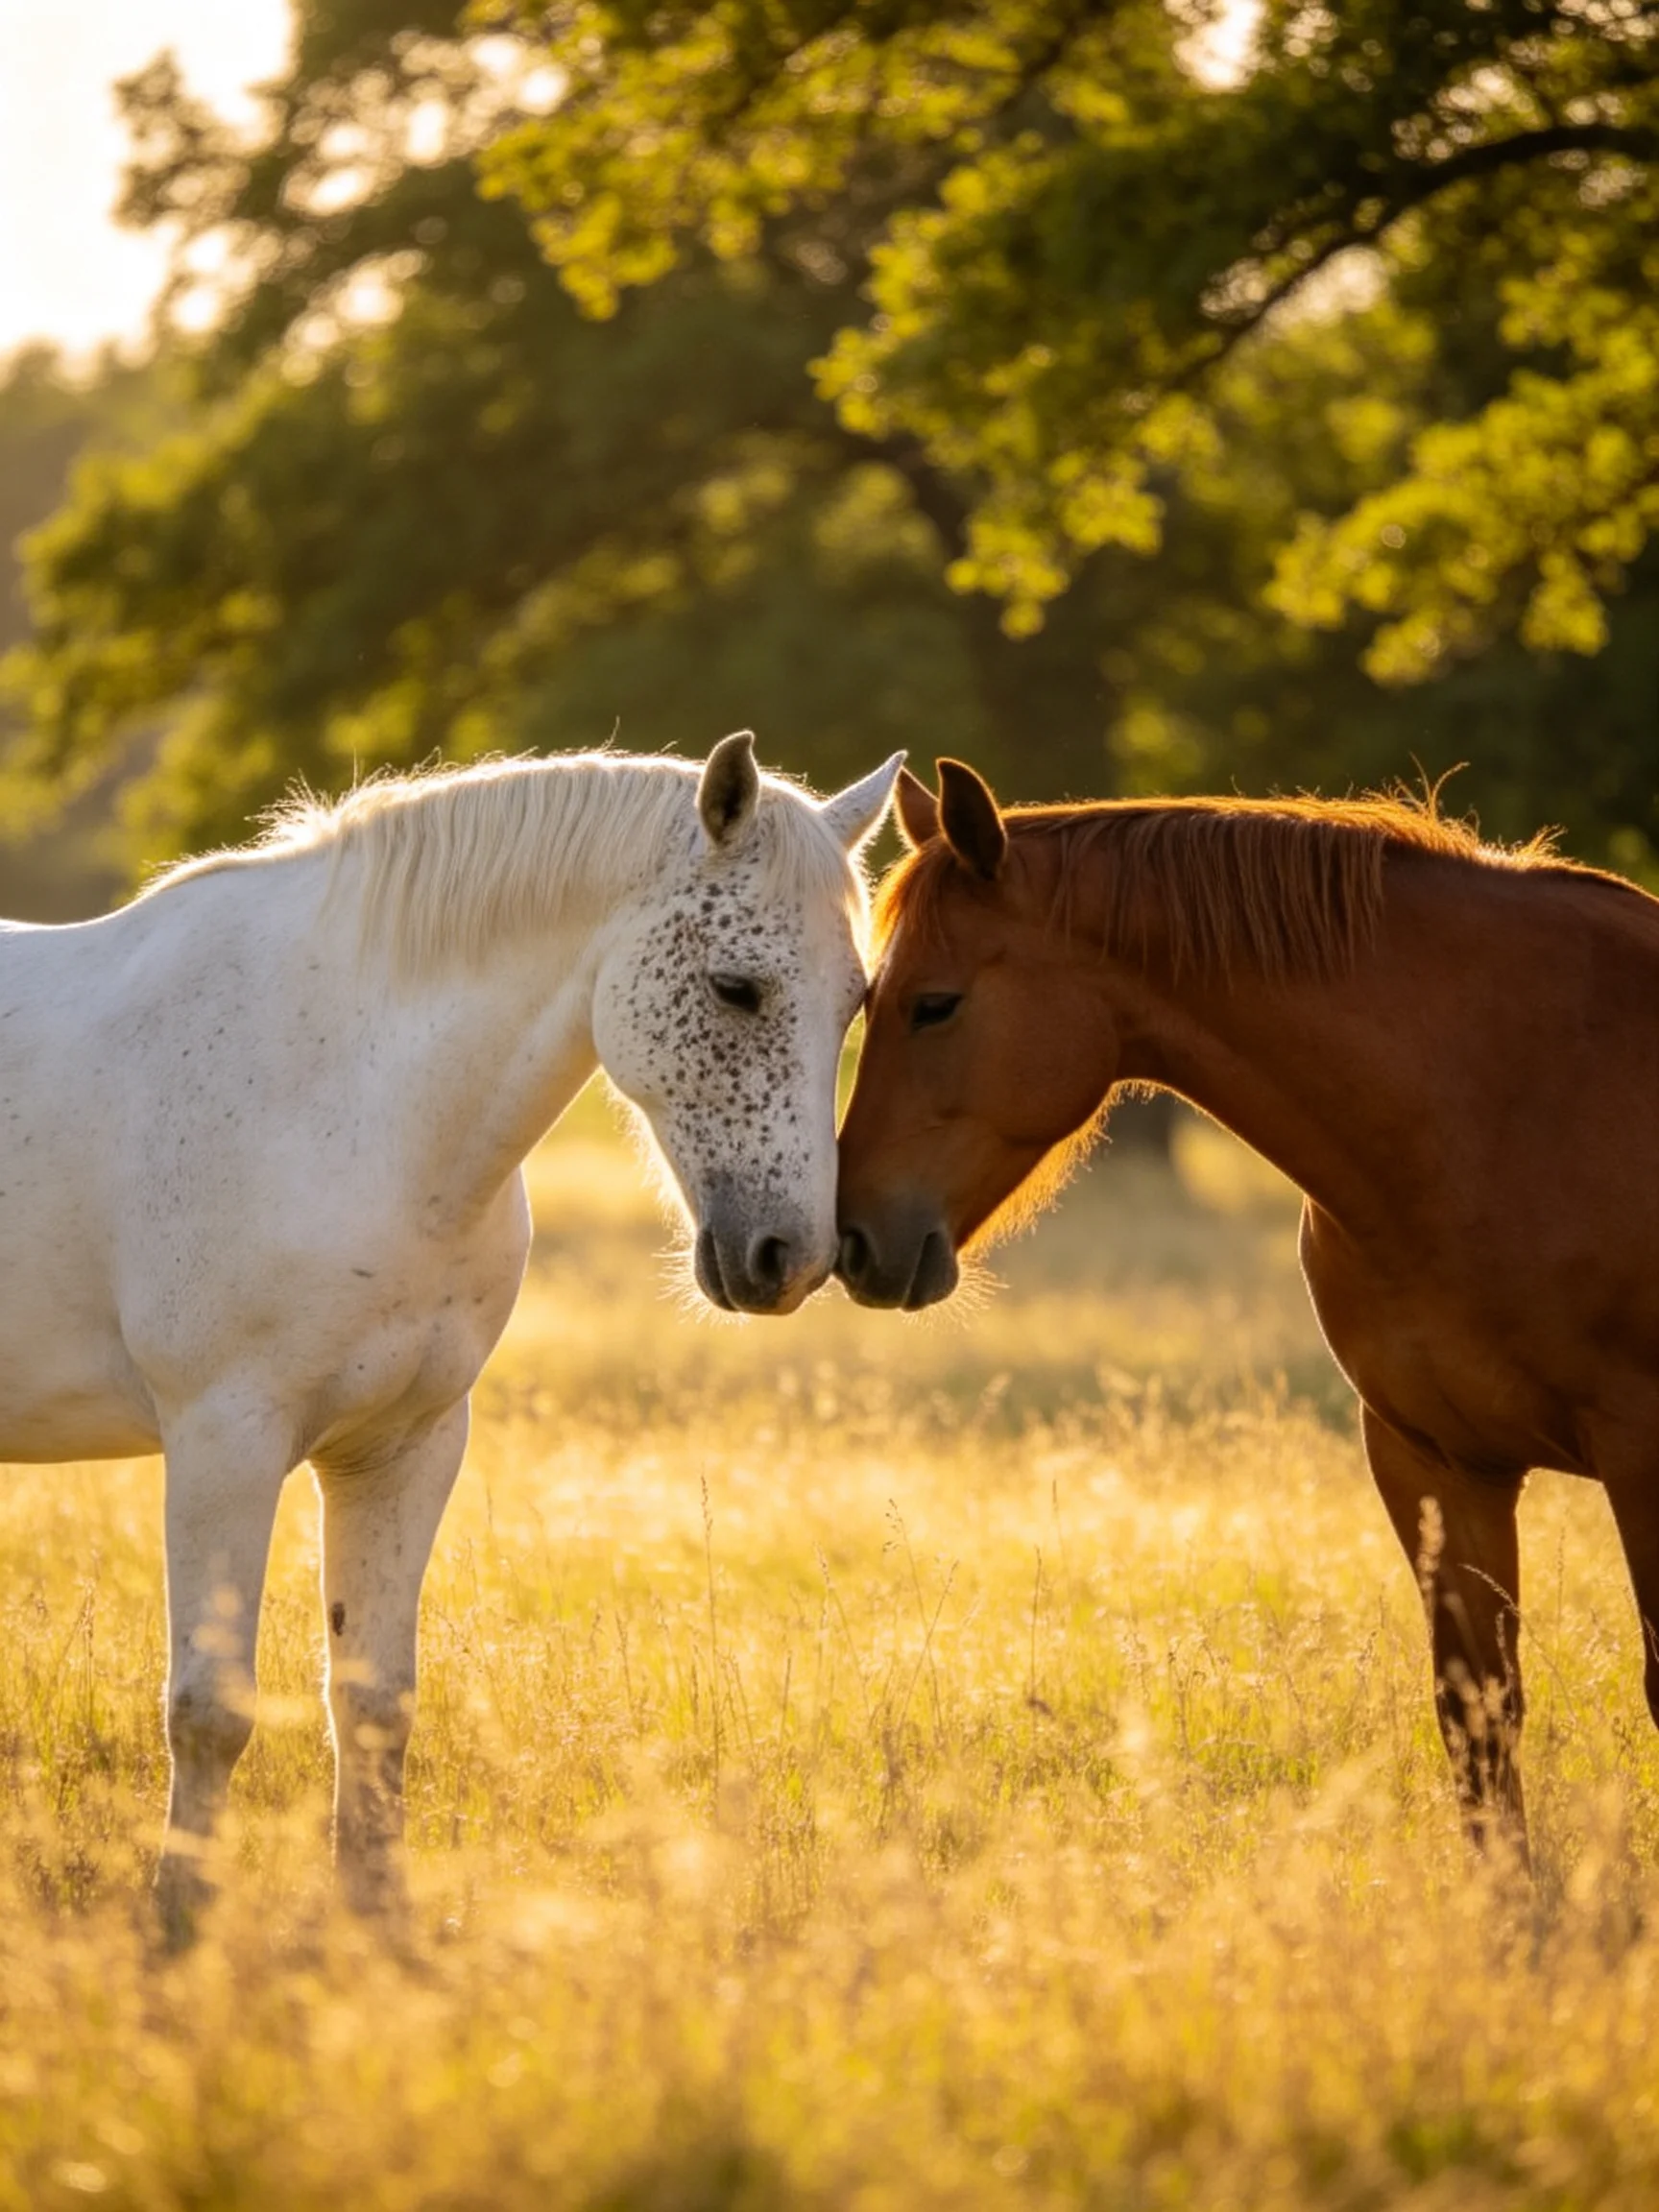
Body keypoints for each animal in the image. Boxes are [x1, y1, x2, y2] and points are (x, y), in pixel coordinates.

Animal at [0, 733, 901, 1935]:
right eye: (736, 989)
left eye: (855, 1002)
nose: (789, 1258)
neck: (345, 1092)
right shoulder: (223, 1442)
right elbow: (210, 1708)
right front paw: (177, 1931)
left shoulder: (405, 1445)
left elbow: (375, 1703)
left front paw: (381, 1932)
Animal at [836, 757, 1659, 1861]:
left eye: (935, 1005)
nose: (850, 1237)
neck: (1504, 1102)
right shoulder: (1435, 1460)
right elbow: (1480, 1717)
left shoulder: (1640, 1451)